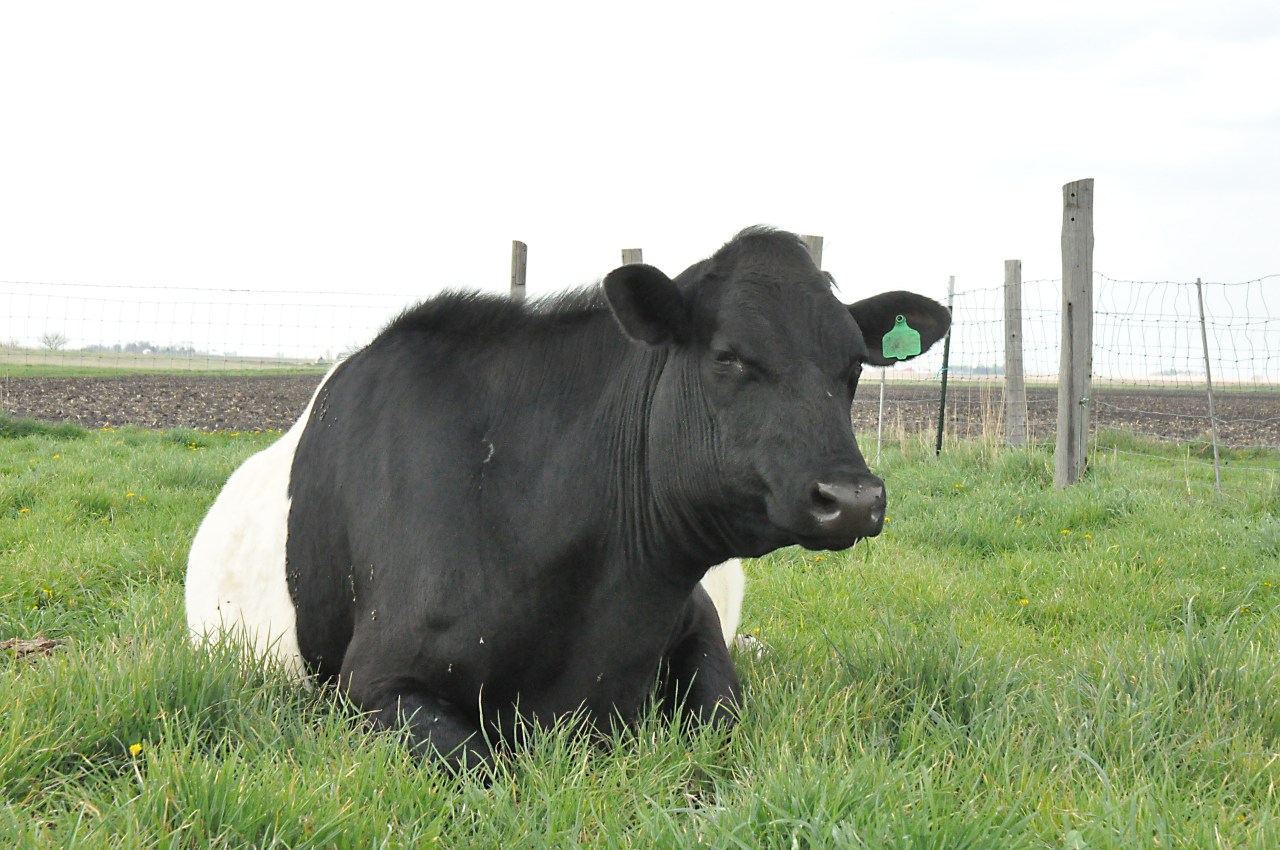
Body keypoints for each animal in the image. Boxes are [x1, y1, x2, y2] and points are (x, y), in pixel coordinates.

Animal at [185, 227, 950, 770]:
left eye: (853, 367)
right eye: (727, 356)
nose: (853, 497)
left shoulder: (696, 622)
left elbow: (726, 726)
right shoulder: (372, 680)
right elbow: (483, 768)